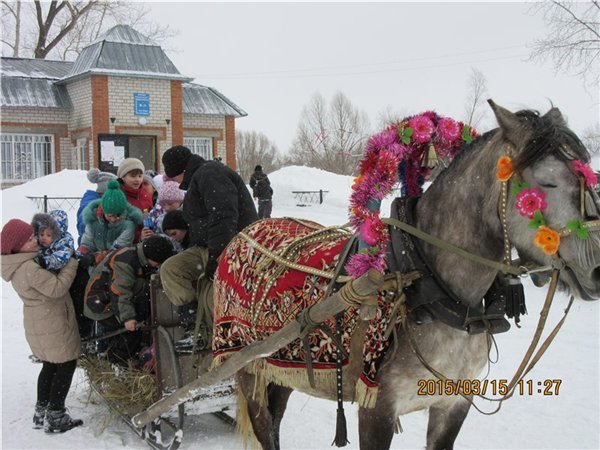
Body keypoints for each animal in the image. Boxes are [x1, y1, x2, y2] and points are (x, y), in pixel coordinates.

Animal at [212, 102, 600, 450]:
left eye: (590, 176)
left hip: (280, 368)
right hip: (247, 368)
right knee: (265, 428)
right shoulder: (377, 409)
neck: (427, 285)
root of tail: (243, 234)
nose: (597, 267)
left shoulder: (452, 404)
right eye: (546, 184)